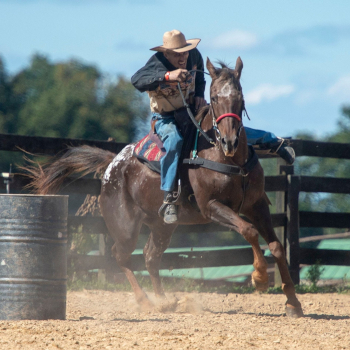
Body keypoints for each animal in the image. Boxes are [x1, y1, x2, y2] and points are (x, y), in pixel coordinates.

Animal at [23, 56, 304, 318]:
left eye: (240, 96)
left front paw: (293, 303)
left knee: (150, 256)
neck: (228, 159)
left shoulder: (256, 204)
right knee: (121, 255)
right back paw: (145, 301)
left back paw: (164, 301)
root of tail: (112, 165)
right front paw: (260, 278)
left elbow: (276, 246)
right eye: (214, 98)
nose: (229, 141)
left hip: (161, 226)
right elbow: (249, 231)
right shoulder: (211, 206)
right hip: (125, 228)